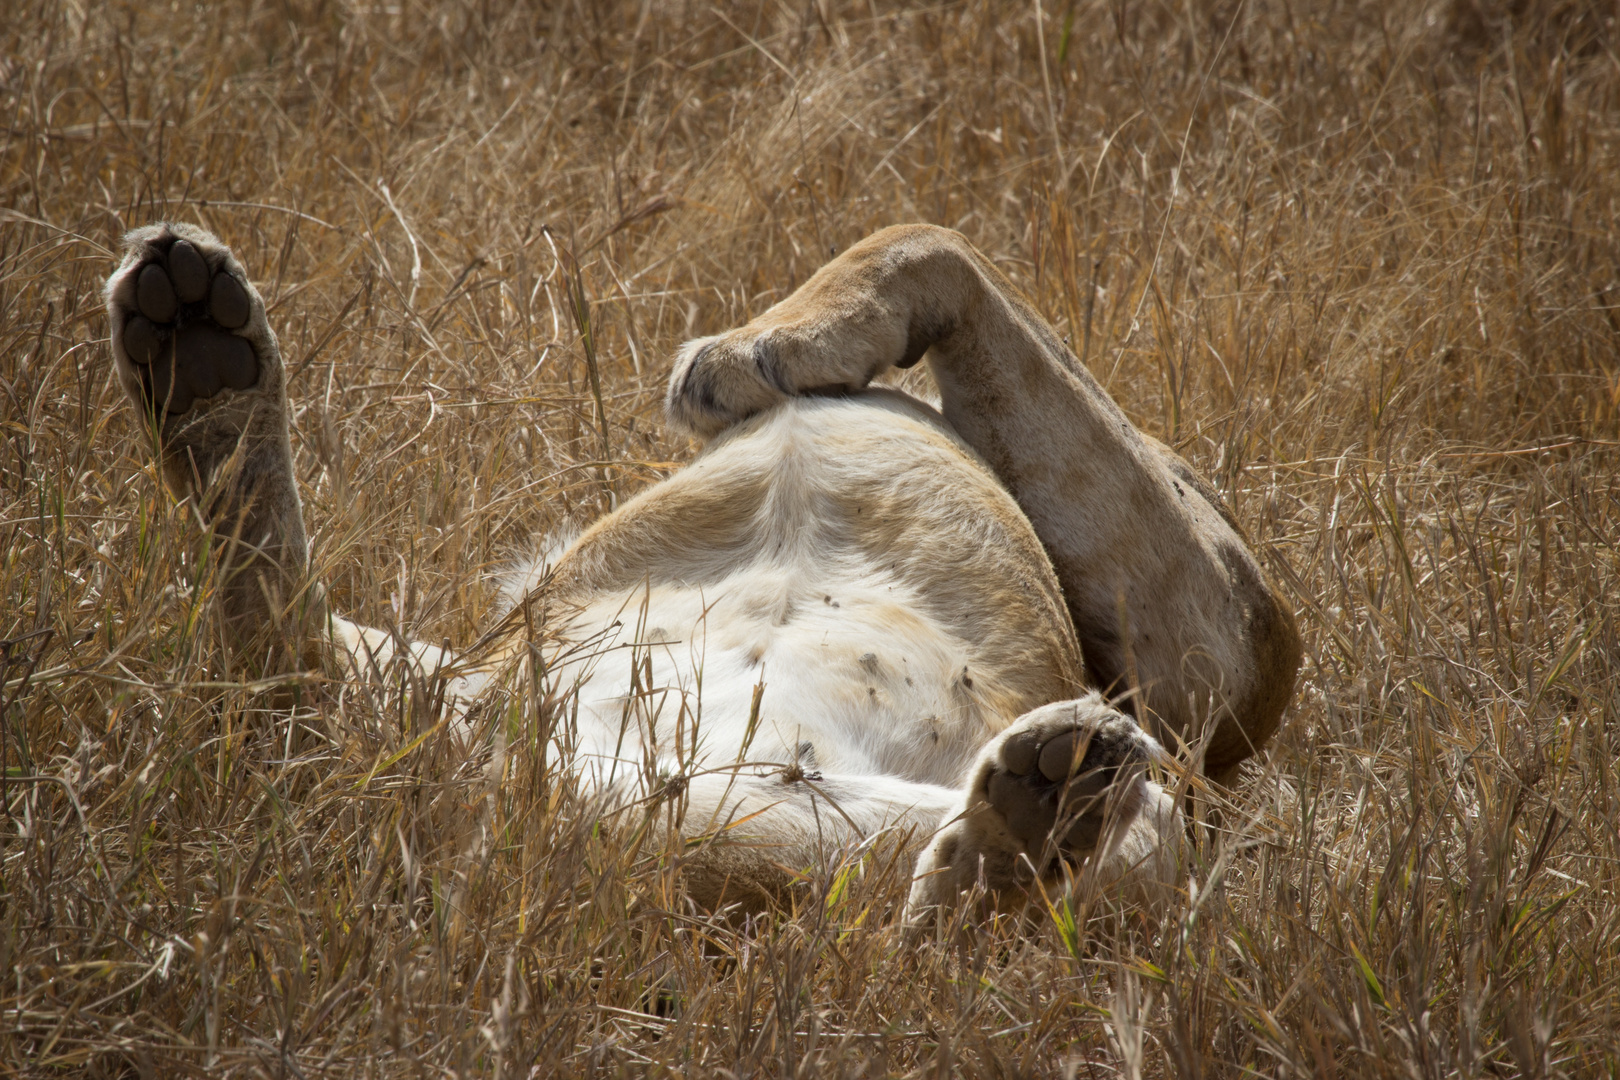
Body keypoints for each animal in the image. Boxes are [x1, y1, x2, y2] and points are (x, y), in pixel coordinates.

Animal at [104, 223, 1302, 926]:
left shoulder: (1226, 649)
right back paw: (196, 344)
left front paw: (748, 355)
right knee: (281, 651)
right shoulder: (1220, 635)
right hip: (455, 691)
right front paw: (757, 353)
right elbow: (932, 240)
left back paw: (1019, 833)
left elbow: (935, 241)